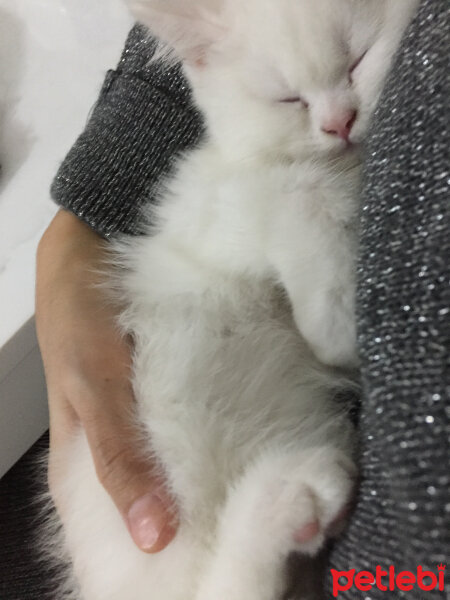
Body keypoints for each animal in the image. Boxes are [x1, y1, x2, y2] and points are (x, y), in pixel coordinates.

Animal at [46, 1, 418, 600]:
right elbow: (298, 192)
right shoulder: (215, 219)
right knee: (218, 584)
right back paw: (289, 502)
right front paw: (337, 326)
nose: (338, 122)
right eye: (287, 99)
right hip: (165, 473)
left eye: (359, 60)